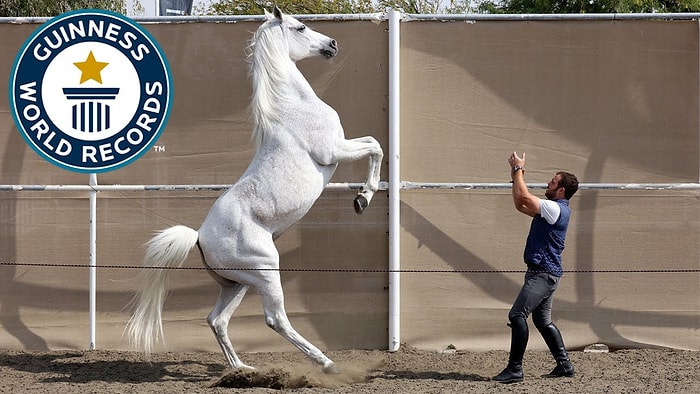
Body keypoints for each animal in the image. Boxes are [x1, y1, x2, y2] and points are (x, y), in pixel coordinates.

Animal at [129, 6, 386, 376]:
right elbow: (376, 147)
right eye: (300, 27)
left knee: (217, 320)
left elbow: (373, 142)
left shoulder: (343, 145)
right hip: (266, 272)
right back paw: (326, 363)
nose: (332, 44)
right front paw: (362, 199)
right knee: (274, 319)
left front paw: (363, 197)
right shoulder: (334, 151)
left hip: (239, 283)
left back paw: (242, 369)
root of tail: (199, 237)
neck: (294, 107)